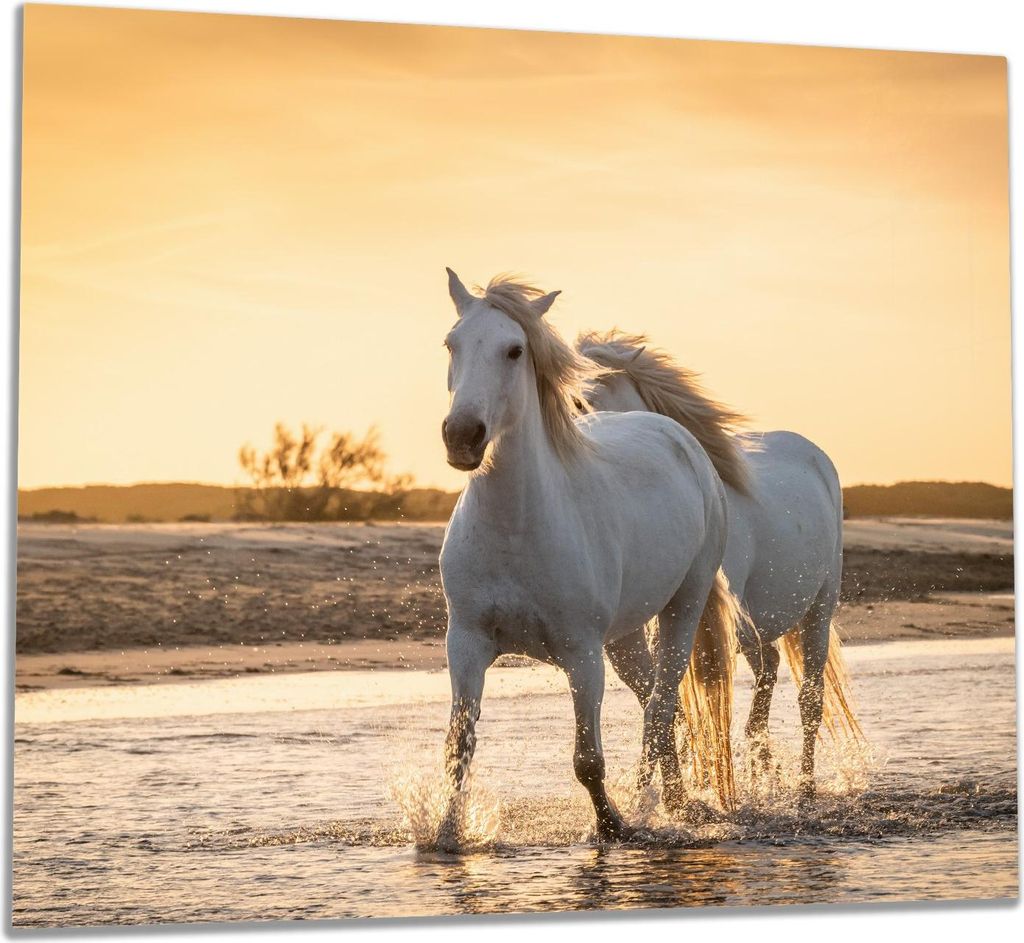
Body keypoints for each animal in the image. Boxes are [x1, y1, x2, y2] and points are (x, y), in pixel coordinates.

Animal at [436, 271, 742, 847]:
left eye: (514, 350)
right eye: (451, 343)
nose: (462, 436)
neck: (517, 529)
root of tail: (677, 436)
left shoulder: (581, 655)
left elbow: (587, 760)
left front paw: (613, 827)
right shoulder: (466, 644)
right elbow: (457, 751)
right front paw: (444, 836)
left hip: (682, 608)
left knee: (662, 708)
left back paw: (661, 807)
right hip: (624, 638)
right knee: (657, 705)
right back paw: (671, 800)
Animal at [576, 331, 862, 797]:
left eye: (587, 398)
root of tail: (814, 454)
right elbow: (663, 702)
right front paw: (663, 789)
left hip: (819, 608)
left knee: (809, 697)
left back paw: (803, 787)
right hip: (760, 624)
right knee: (769, 672)